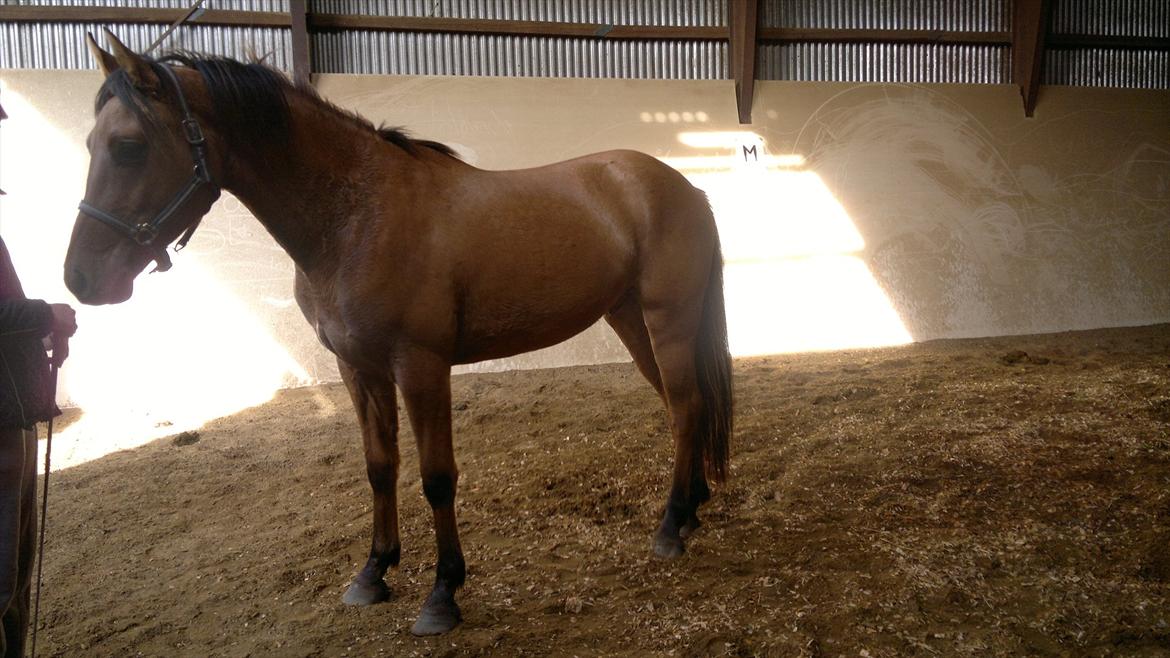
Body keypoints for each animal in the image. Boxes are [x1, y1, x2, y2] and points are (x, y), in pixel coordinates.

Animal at [64, 30, 732, 636]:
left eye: (128, 146)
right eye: (91, 144)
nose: (81, 279)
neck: (358, 216)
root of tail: (684, 186)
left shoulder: (421, 366)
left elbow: (436, 477)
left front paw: (442, 595)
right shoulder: (357, 367)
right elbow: (379, 465)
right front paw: (373, 573)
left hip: (668, 320)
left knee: (683, 408)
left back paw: (670, 527)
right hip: (631, 321)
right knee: (688, 404)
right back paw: (691, 510)